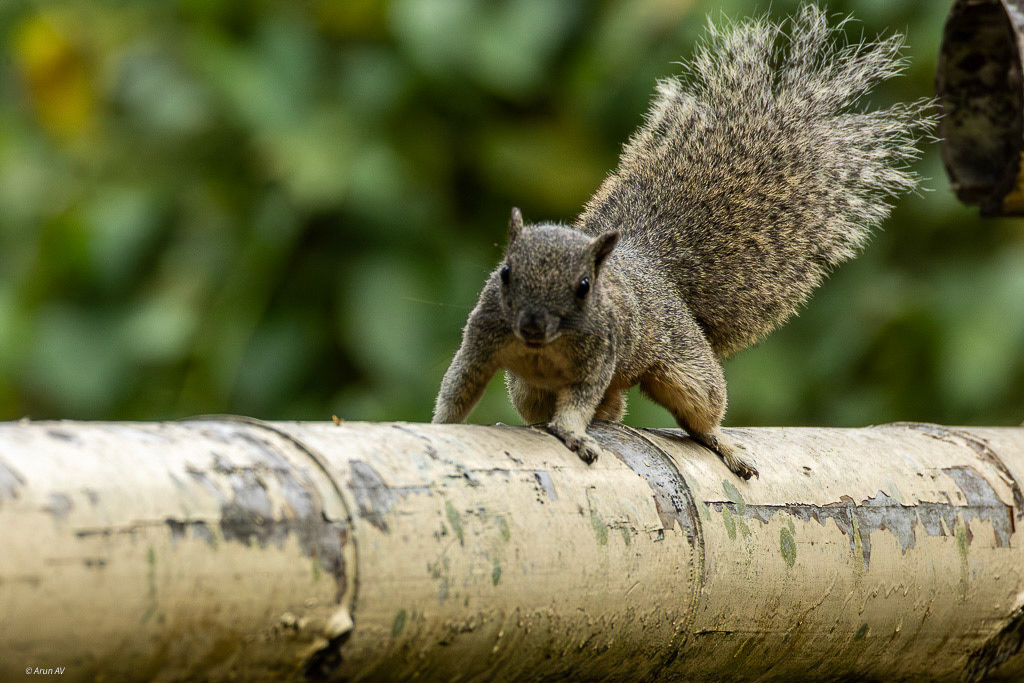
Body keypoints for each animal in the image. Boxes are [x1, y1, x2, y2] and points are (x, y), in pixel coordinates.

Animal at [432, 5, 934, 479]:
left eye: (583, 287)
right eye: (505, 273)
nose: (533, 326)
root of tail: (654, 267)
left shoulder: (599, 355)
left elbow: (578, 403)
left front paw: (574, 434)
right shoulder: (483, 337)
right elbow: (459, 386)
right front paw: (440, 426)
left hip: (683, 362)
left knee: (697, 407)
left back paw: (722, 443)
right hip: (530, 389)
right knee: (589, 408)